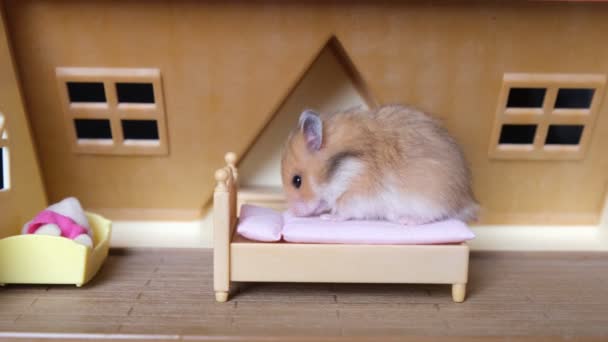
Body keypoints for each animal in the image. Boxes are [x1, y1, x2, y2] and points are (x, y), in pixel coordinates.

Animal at [280, 105, 480, 226]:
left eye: (297, 181)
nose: (295, 213)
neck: (340, 171)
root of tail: (466, 199)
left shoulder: (356, 195)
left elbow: (343, 211)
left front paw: (327, 217)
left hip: (427, 201)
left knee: (434, 216)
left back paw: (405, 220)